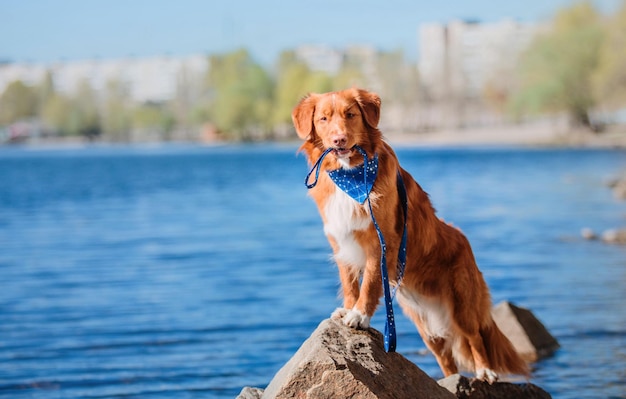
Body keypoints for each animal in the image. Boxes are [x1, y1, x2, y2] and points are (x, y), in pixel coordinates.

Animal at [292, 88, 528, 384]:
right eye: (323, 119)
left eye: (351, 114)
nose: (339, 139)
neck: (351, 176)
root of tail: (464, 240)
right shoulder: (341, 242)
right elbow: (350, 283)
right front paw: (348, 308)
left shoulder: (380, 243)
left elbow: (370, 283)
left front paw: (359, 315)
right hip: (425, 325)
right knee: (446, 359)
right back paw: (450, 382)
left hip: (462, 304)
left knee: (474, 337)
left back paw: (485, 371)